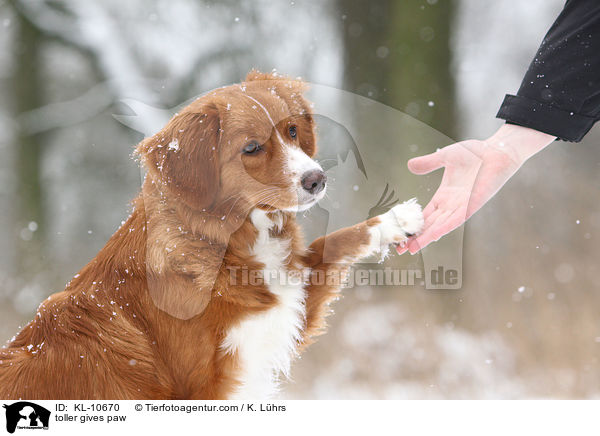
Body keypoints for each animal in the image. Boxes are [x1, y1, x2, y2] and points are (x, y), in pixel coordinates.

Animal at [0, 70, 424, 398]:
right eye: (251, 148)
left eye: (291, 130)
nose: (316, 179)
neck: (225, 243)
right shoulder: (213, 383)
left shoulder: (282, 310)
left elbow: (330, 244)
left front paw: (394, 221)